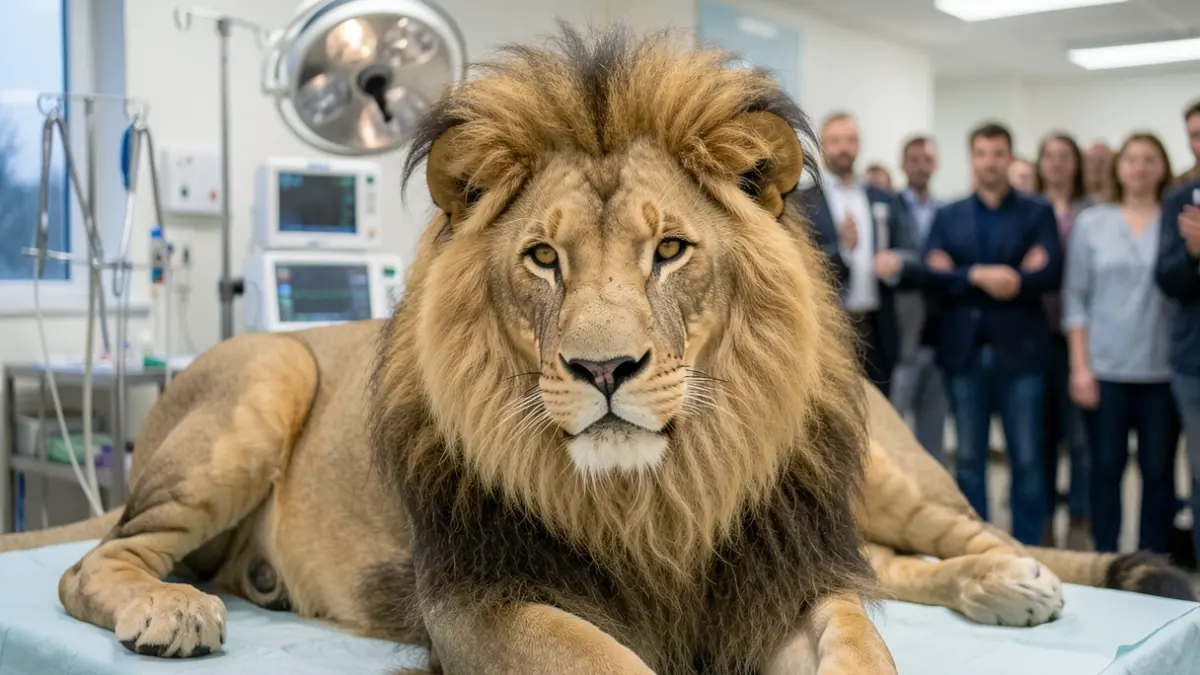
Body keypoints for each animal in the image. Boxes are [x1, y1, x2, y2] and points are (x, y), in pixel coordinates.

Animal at [0, 24, 1193, 675]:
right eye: (542, 259)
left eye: (669, 251)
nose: (603, 372)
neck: (664, 495)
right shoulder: (485, 604)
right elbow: (611, 655)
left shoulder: (787, 566)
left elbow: (865, 628)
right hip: (270, 372)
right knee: (92, 560)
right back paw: (172, 605)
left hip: (882, 470)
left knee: (959, 534)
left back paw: (1013, 579)